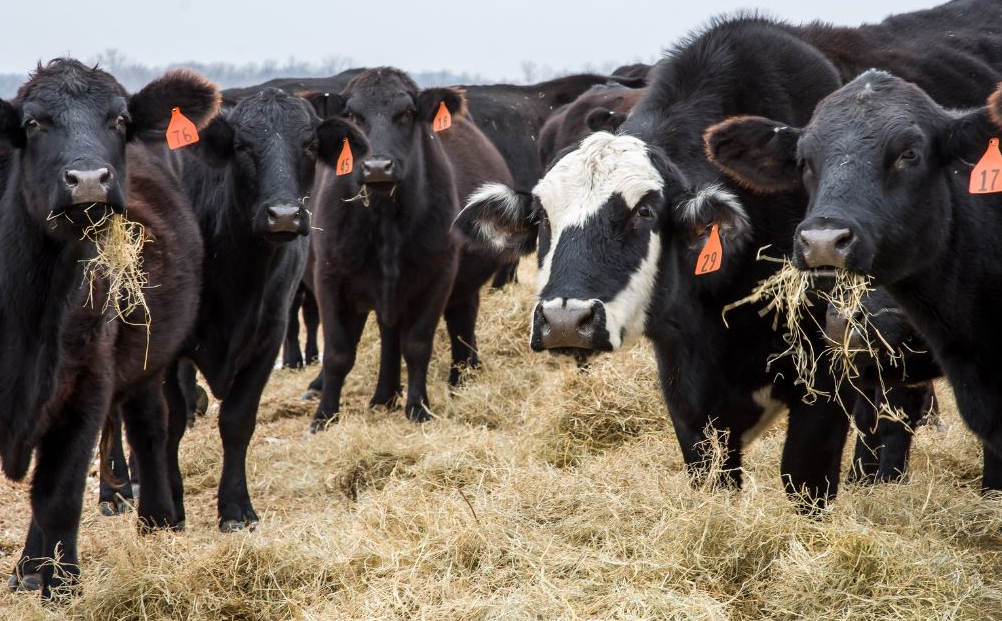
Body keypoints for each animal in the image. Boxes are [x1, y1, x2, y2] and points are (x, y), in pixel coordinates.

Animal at [302, 66, 517, 426]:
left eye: (406, 113)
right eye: (353, 115)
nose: (377, 166)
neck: (385, 219)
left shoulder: (437, 276)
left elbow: (417, 345)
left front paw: (418, 408)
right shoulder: (330, 278)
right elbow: (338, 353)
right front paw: (323, 417)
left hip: (460, 285)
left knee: (460, 322)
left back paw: (460, 379)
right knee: (390, 335)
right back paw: (383, 395)